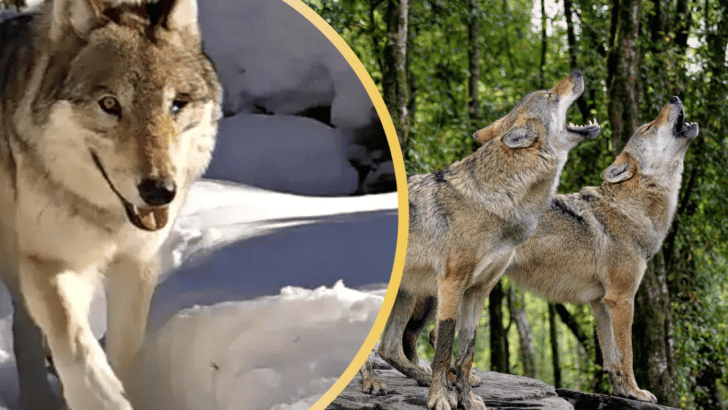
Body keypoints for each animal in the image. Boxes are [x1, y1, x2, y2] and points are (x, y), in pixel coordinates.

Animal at [0, 0, 222, 409]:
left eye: (176, 105)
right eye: (109, 104)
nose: (159, 192)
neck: (107, 219)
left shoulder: (137, 263)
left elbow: (126, 349)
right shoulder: (47, 262)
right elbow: (76, 345)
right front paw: (103, 398)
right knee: (25, 326)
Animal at [370, 72, 600, 410]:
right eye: (549, 94)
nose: (578, 73)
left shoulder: (479, 290)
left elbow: (467, 351)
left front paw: (467, 398)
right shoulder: (452, 284)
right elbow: (445, 349)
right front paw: (441, 397)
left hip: (409, 294)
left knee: (388, 347)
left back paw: (418, 377)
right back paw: (372, 382)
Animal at [384, 96, 697, 405]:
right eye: (648, 127)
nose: (675, 97)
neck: (631, 208)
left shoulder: (601, 303)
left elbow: (611, 358)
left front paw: (619, 391)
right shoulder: (622, 299)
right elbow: (627, 354)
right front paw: (635, 392)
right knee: (429, 335)